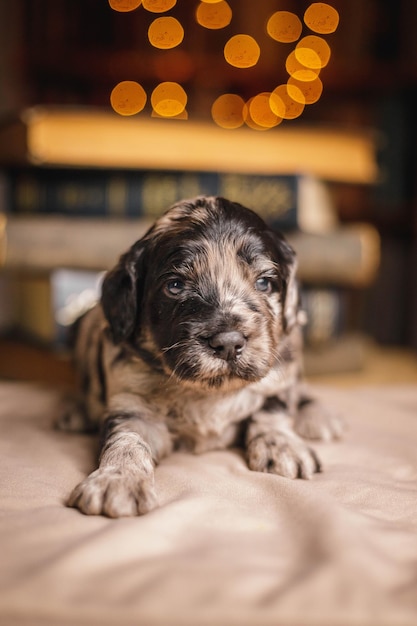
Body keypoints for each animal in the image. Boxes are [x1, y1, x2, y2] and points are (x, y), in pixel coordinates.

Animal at [59, 196, 344, 516]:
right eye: (175, 286)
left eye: (264, 283)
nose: (229, 343)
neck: (207, 392)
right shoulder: (132, 404)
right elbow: (127, 439)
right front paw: (118, 480)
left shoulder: (279, 371)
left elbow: (273, 408)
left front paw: (283, 446)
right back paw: (75, 411)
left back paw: (318, 416)